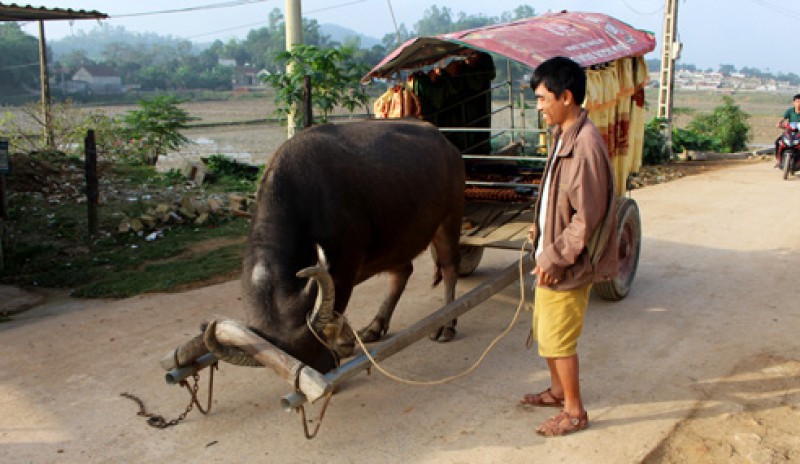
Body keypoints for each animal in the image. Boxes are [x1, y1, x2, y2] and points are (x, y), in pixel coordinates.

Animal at [208, 119, 462, 374]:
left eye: (314, 342)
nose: (326, 367)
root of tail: (446, 143)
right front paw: (346, 339)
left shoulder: (344, 267)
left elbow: (336, 305)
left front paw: (342, 342)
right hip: (397, 239)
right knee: (402, 272)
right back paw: (375, 327)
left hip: (449, 218)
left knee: (449, 266)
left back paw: (447, 324)